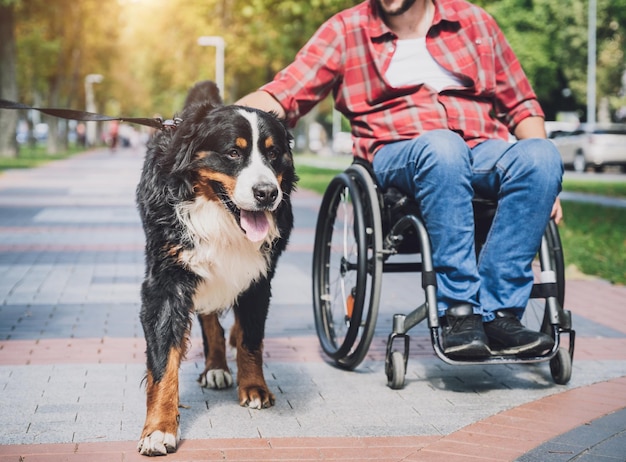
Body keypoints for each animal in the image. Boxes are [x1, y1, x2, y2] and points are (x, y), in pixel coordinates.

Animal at [135, 80, 294, 454]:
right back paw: (216, 368)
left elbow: (251, 339)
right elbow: (163, 363)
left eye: (273, 153)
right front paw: (159, 428)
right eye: (233, 153)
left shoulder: (258, 278)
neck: (220, 219)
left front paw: (254, 387)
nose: (267, 193)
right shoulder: (165, 284)